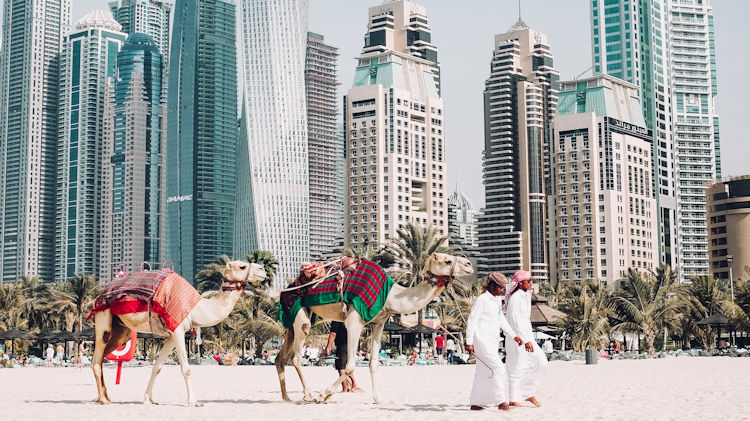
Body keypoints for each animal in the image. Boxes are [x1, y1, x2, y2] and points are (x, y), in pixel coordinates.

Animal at [90, 260, 268, 406]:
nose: (263, 270)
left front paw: (148, 399)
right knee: (97, 357)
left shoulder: (171, 336)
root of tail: (98, 297)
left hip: (122, 331)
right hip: (103, 316)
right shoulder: (178, 330)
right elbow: (186, 369)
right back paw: (103, 399)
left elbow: (157, 367)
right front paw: (193, 402)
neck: (196, 308)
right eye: (242, 266)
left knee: (104, 355)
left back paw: (105, 396)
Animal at [228, 253, 470, 404]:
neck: (390, 296)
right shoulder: (355, 320)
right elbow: (351, 365)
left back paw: (287, 398)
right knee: (296, 356)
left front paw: (378, 398)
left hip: (294, 317)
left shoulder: (379, 322)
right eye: (447, 259)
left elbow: (373, 363)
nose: (468, 264)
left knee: (280, 357)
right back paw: (308, 395)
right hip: (299, 313)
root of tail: (287, 287)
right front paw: (324, 395)